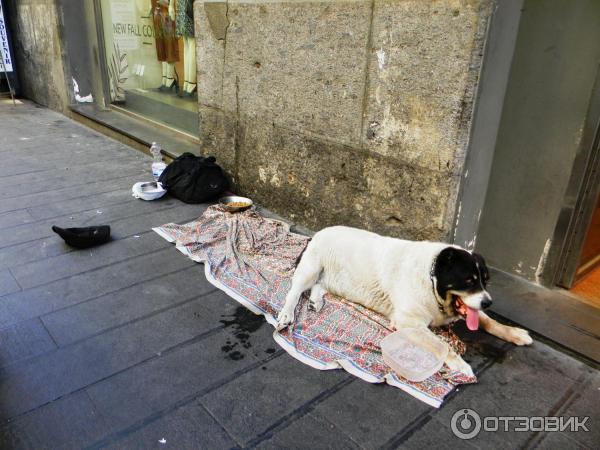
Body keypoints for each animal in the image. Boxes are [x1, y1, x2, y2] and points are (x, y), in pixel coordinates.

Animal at [276, 225, 536, 376]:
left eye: (485, 281)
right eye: (469, 281)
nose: (489, 302)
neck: (431, 280)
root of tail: (317, 233)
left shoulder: (471, 307)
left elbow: (487, 320)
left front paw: (514, 333)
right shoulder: (409, 321)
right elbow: (441, 345)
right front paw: (460, 363)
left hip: (331, 279)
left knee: (318, 287)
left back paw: (316, 302)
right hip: (311, 267)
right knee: (294, 291)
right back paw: (287, 315)